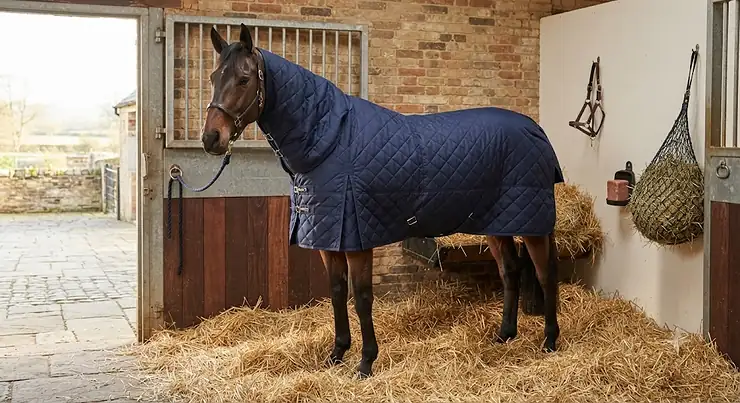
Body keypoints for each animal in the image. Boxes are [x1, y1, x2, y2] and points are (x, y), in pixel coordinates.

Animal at [200, 23, 562, 379]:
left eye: (244, 79)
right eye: (214, 77)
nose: (210, 138)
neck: (331, 141)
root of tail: (535, 131)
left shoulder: (357, 239)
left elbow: (361, 298)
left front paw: (365, 362)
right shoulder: (327, 238)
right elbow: (337, 293)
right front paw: (337, 353)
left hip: (531, 224)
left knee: (544, 273)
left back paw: (549, 341)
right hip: (499, 222)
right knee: (510, 271)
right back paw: (505, 335)